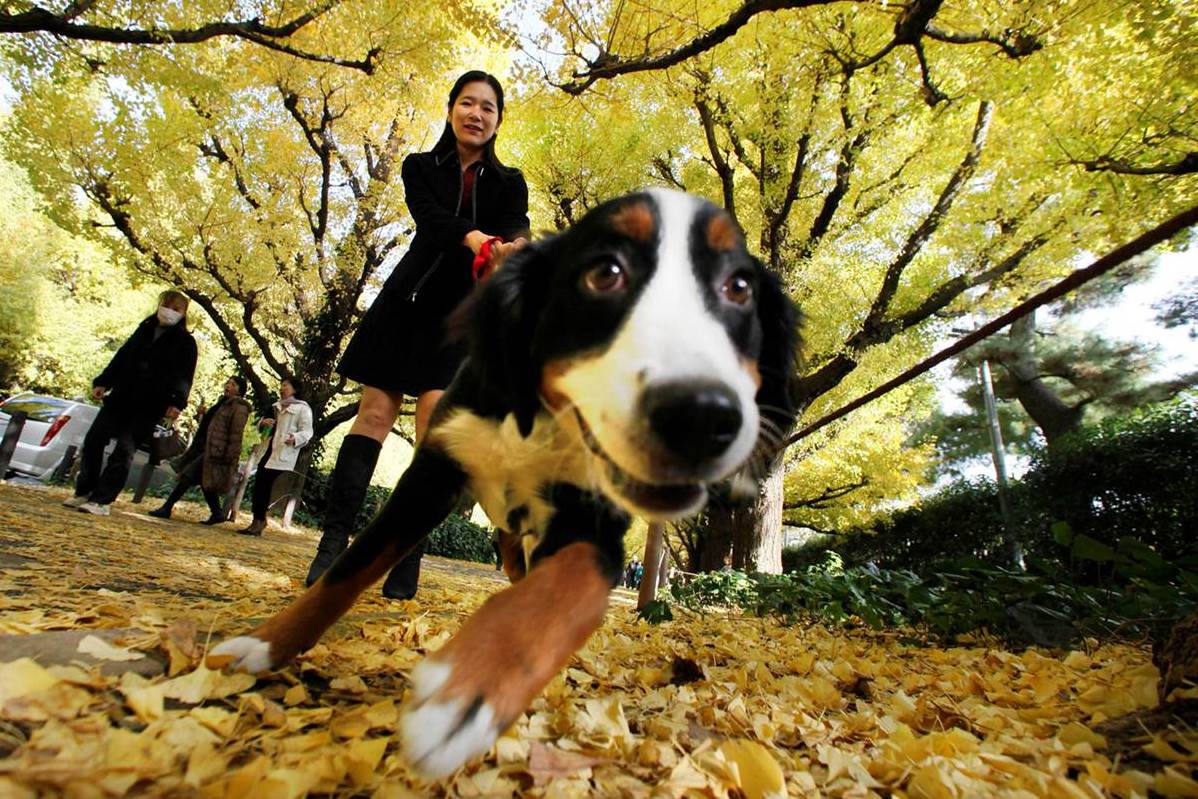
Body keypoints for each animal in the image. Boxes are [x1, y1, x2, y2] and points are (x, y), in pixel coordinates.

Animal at [210, 188, 800, 776]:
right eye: (605, 273)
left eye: (739, 287)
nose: (702, 415)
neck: (539, 422)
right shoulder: (429, 477)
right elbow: (346, 571)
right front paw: (264, 645)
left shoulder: (595, 526)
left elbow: (559, 589)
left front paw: (468, 689)